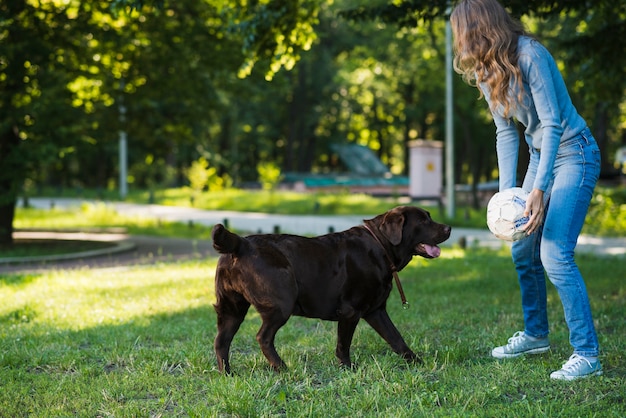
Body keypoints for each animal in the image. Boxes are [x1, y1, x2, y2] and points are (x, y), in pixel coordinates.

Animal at [210, 206, 448, 372]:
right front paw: (348, 368)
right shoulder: (350, 311)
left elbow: (396, 338)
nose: (448, 228)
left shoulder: (376, 310)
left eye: (429, 217)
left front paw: (416, 361)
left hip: (232, 308)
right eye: (423, 221)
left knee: (221, 340)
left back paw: (227, 374)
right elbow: (344, 344)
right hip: (281, 303)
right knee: (263, 337)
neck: (380, 245)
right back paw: (282, 368)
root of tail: (241, 244)